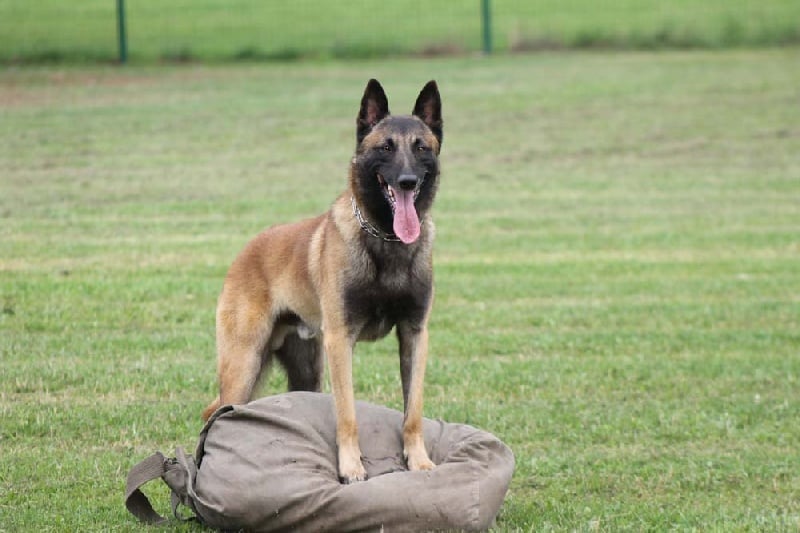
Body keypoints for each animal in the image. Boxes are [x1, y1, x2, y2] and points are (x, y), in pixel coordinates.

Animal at [202, 79, 443, 483]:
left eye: (421, 147)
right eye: (386, 148)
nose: (408, 181)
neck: (385, 239)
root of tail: (248, 249)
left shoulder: (415, 335)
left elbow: (414, 409)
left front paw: (419, 460)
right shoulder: (340, 341)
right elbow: (347, 413)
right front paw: (351, 467)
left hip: (305, 372)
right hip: (243, 365)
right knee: (215, 414)